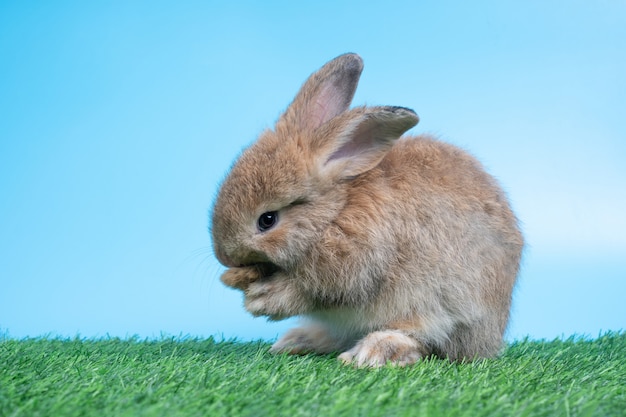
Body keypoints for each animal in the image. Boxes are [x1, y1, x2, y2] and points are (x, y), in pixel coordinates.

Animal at [210, 52, 520, 368]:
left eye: (267, 220)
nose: (224, 257)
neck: (334, 213)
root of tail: (490, 339)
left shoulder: (355, 267)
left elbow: (308, 292)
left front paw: (261, 299)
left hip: (441, 312)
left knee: (424, 340)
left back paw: (373, 352)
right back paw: (298, 341)